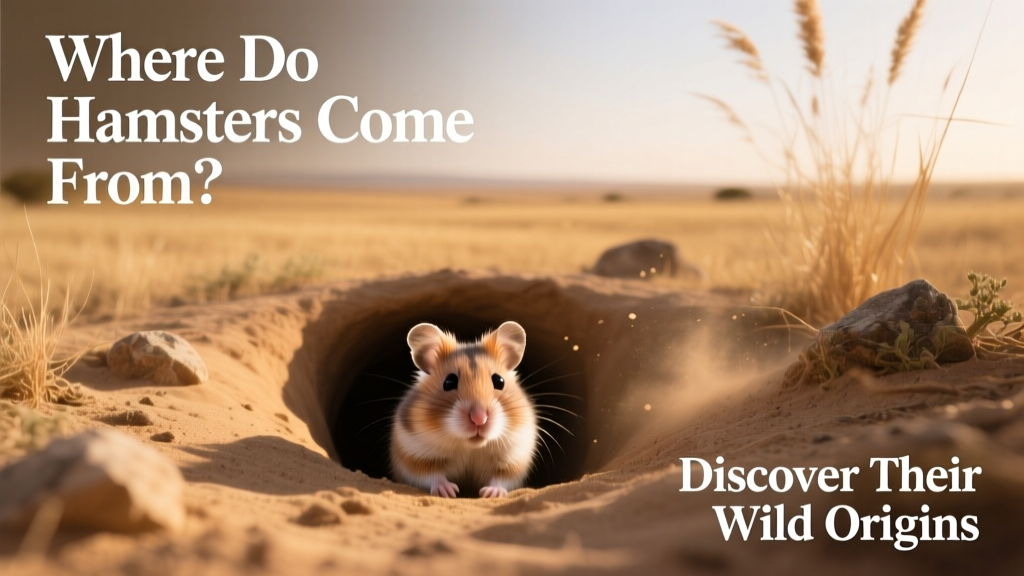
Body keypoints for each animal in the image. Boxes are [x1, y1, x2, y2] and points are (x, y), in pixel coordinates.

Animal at [390, 321, 538, 498]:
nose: (479, 419)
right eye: (449, 382)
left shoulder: (514, 458)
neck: (470, 446)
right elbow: (432, 475)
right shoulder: (414, 455)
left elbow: (501, 478)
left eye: (499, 381)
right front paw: (449, 492)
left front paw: (490, 494)